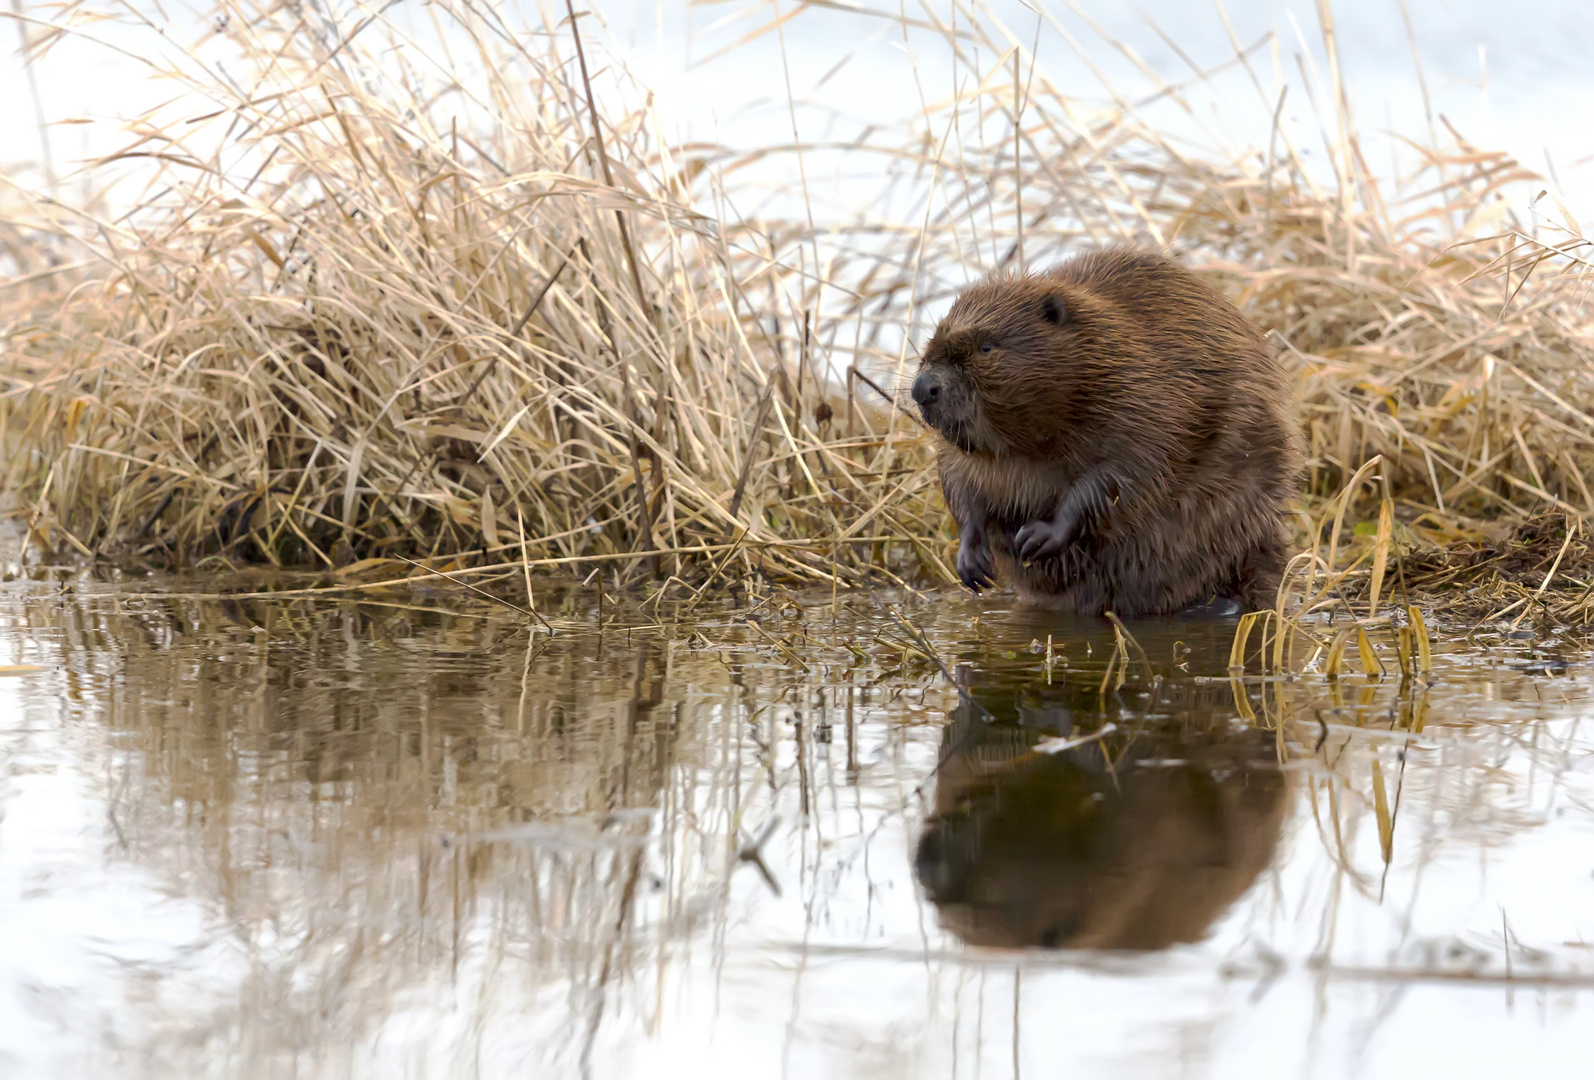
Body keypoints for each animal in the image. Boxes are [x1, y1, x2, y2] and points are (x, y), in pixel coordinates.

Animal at [918, 246, 1300, 618]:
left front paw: (1037, 537)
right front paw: (972, 562)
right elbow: (957, 484)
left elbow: (1124, 472)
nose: (923, 388)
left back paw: (1223, 605)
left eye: (986, 347)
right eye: (931, 341)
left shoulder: (1144, 400)